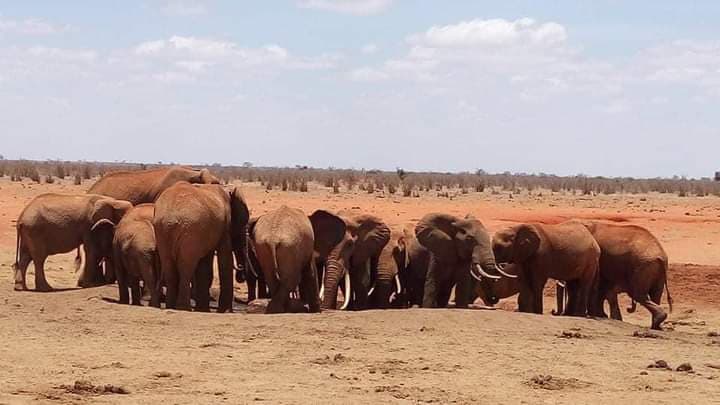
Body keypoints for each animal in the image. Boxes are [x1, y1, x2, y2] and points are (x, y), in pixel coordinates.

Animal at [153, 182, 250, 312]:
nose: (241, 270)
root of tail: (170, 219)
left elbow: (205, 263)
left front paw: (203, 309)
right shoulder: (224, 226)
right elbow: (225, 259)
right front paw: (225, 311)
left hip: (162, 231)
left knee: (169, 266)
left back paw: (171, 306)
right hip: (190, 229)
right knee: (186, 266)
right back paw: (184, 308)